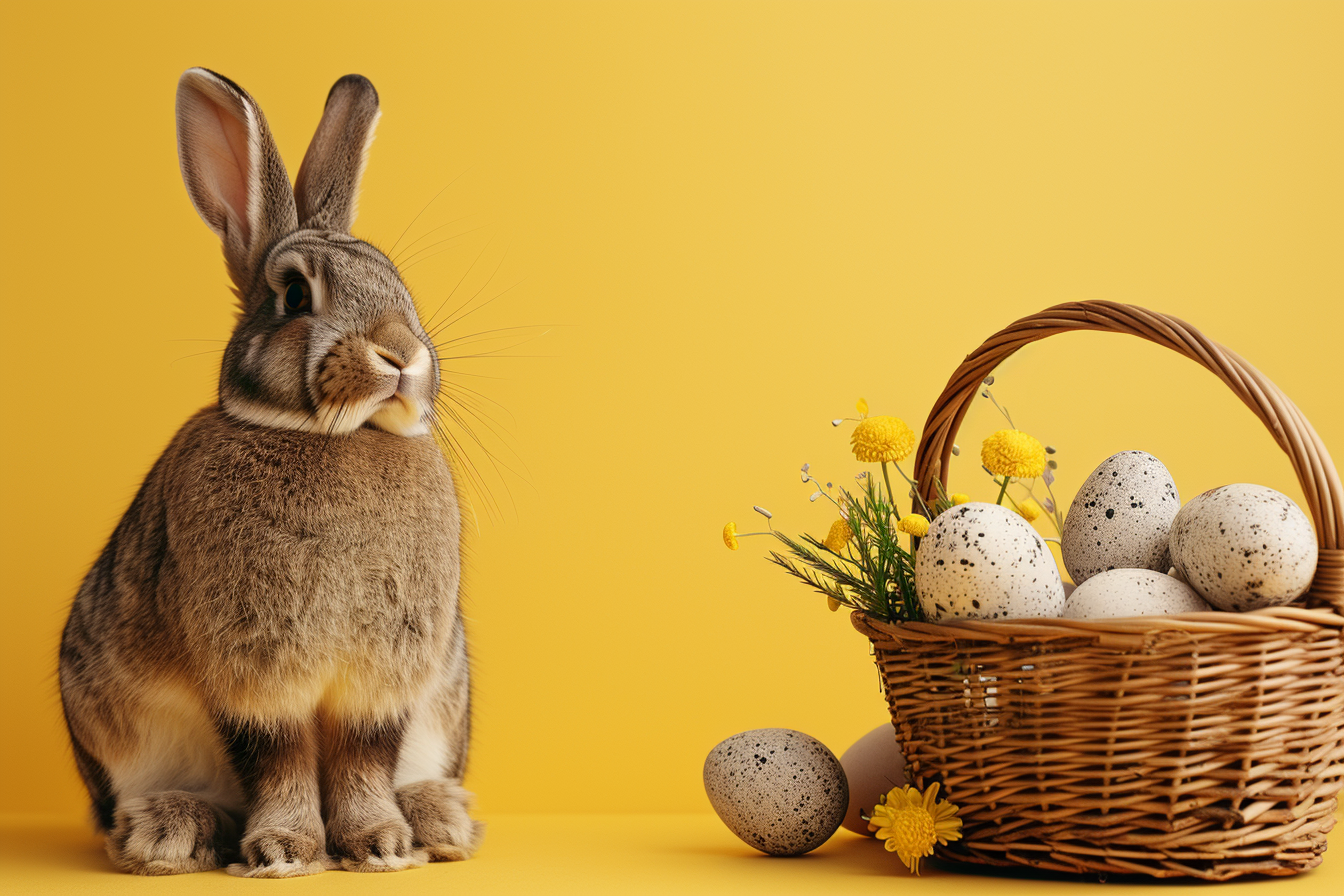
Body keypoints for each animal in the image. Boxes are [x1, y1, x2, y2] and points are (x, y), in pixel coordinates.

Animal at [58, 68, 483, 877]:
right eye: (293, 297)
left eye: (397, 283)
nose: (402, 353)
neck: (330, 436)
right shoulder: (254, 668)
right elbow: (278, 756)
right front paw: (285, 850)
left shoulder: (384, 676)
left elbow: (363, 756)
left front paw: (381, 844)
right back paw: (169, 832)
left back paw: (439, 819)